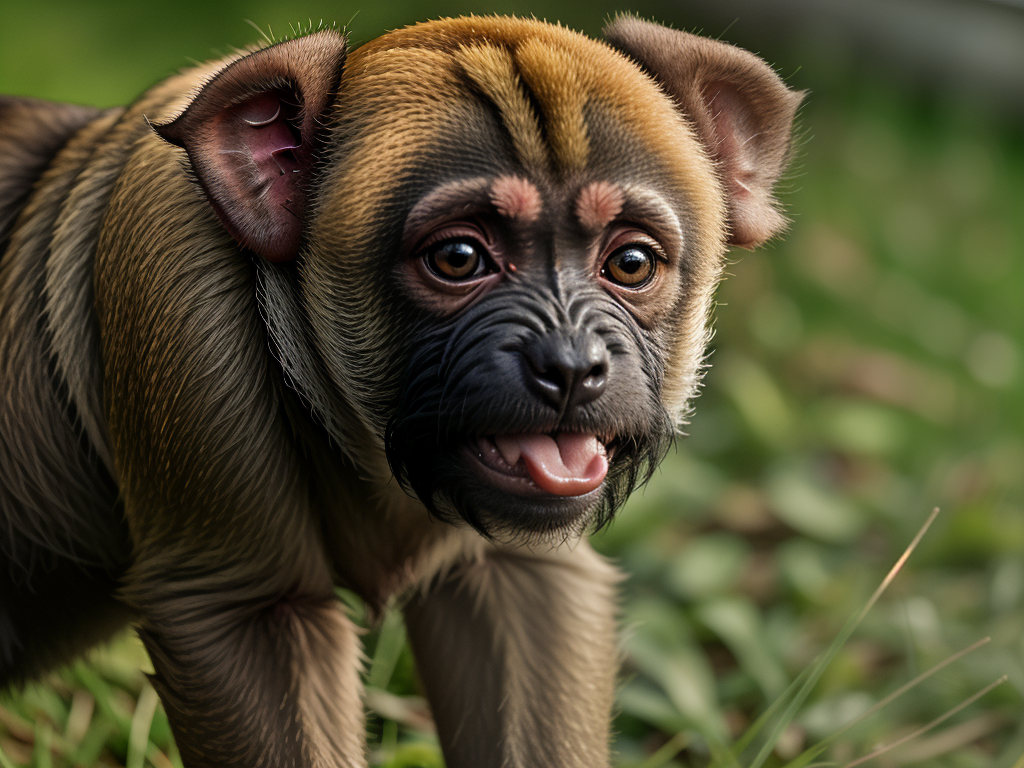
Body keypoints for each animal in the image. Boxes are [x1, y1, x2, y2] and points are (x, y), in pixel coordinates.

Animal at [0, 15, 802, 768]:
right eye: (459, 258)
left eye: (631, 264)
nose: (572, 366)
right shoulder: (181, 306)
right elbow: (253, 614)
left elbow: (524, 584)